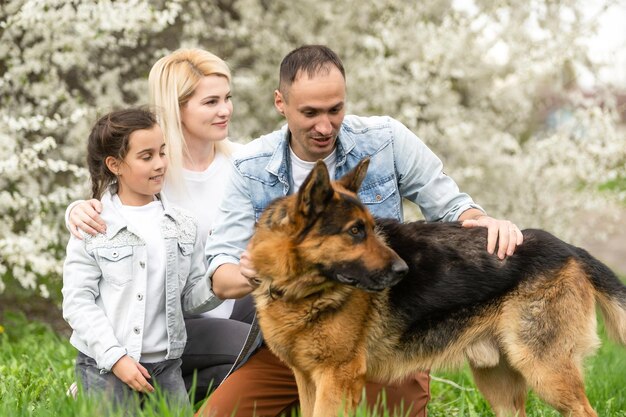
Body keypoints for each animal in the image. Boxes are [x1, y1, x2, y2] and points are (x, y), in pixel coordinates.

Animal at [249, 157, 624, 416]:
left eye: (369, 228)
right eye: (355, 231)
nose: (404, 270)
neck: (301, 290)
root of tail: (570, 248)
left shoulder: (336, 380)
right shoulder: (308, 380)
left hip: (545, 372)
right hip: (499, 383)